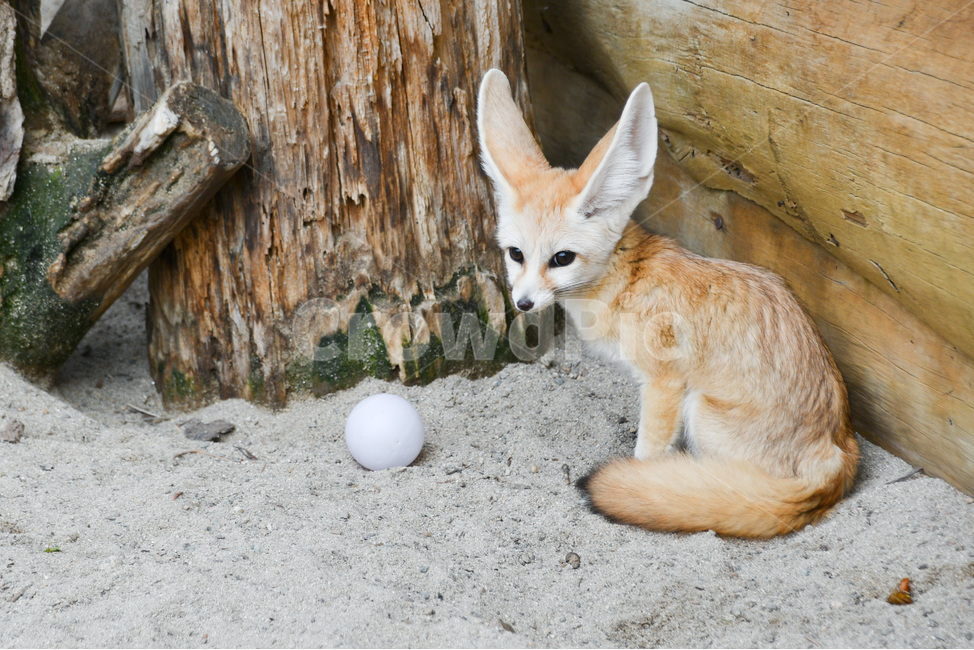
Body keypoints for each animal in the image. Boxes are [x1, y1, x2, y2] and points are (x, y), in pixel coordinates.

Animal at [476, 69, 858, 538]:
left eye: (562, 259)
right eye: (516, 254)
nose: (524, 303)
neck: (626, 280)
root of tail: (839, 450)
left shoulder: (664, 384)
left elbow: (648, 453)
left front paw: (640, 478)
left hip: (700, 411)